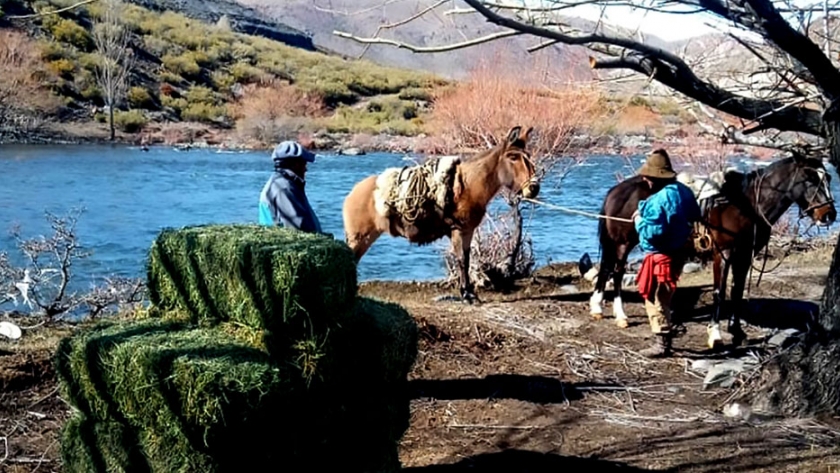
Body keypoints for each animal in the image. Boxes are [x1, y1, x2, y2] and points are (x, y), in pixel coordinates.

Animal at [592, 153, 832, 348]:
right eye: (810, 179)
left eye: (828, 178)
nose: (829, 214)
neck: (746, 206)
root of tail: (616, 190)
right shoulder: (724, 254)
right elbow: (719, 292)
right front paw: (715, 335)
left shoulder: (745, 256)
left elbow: (736, 292)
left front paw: (737, 332)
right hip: (622, 243)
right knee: (616, 272)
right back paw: (619, 315)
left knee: (608, 271)